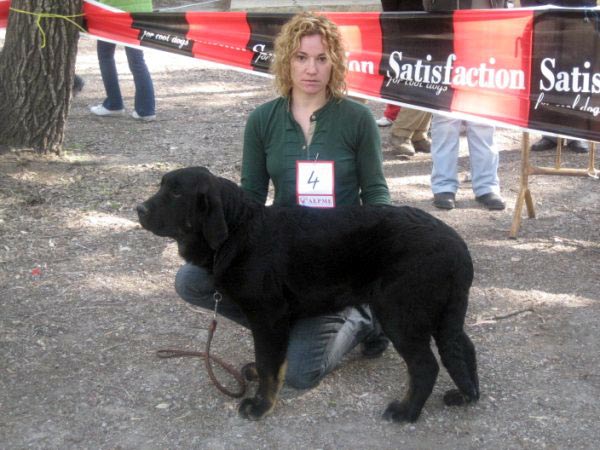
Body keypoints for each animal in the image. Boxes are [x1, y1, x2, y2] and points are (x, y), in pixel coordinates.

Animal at [136, 165, 478, 422]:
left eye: (177, 193)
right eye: (163, 186)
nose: (139, 209)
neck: (238, 230)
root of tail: (458, 246)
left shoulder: (268, 315)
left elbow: (269, 363)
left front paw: (260, 406)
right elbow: (268, 360)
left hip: (400, 314)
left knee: (425, 366)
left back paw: (406, 412)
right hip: (444, 314)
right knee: (462, 348)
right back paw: (466, 395)